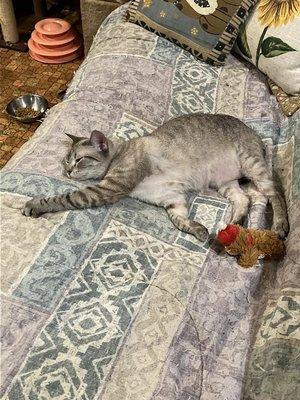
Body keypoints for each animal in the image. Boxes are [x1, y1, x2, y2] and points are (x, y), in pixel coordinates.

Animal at [21, 111, 288, 241]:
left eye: (79, 160)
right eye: (66, 160)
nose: (67, 171)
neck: (119, 153)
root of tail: (254, 133)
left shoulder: (106, 189)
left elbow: (64, 198)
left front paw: (34, 205)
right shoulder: (172, 199)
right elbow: (180, 221)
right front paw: (199, 231)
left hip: (252, 165)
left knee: (274, 195)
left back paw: (279, 227)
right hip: (225, 183)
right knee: (245, 200)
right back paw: (231, 225)